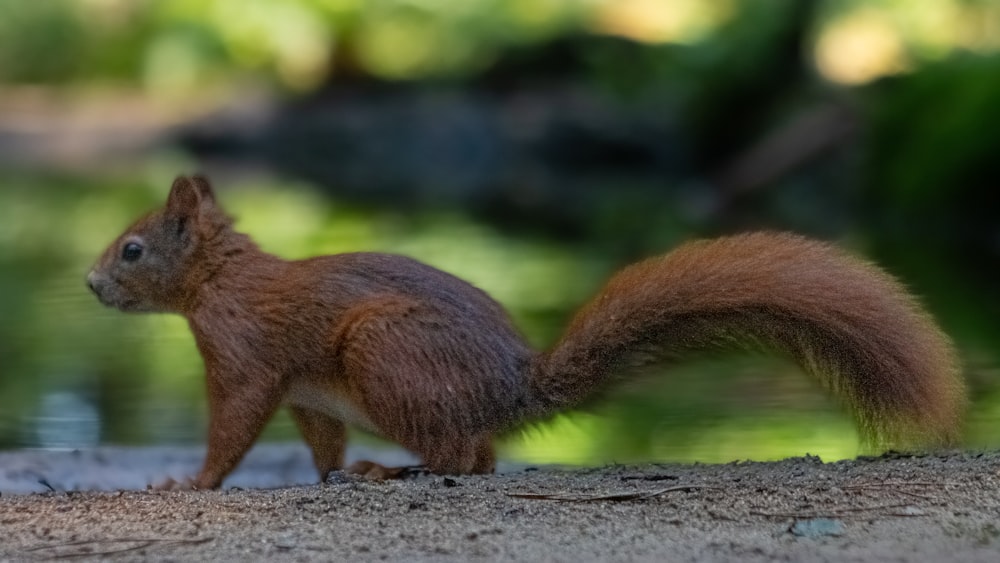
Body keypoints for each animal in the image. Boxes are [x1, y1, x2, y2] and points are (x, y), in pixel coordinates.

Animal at [90, 175, 964, 490]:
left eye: (132, 248)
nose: (92, 284)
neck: (220, 278)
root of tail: (510, 387)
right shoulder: (309, 392)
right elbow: (318, 435)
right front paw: (326, 473)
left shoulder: (242, 355)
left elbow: (234, 425)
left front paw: (189, 483)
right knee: (478, 456)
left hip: (383, 353)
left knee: (457, 458)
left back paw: (394, 470)